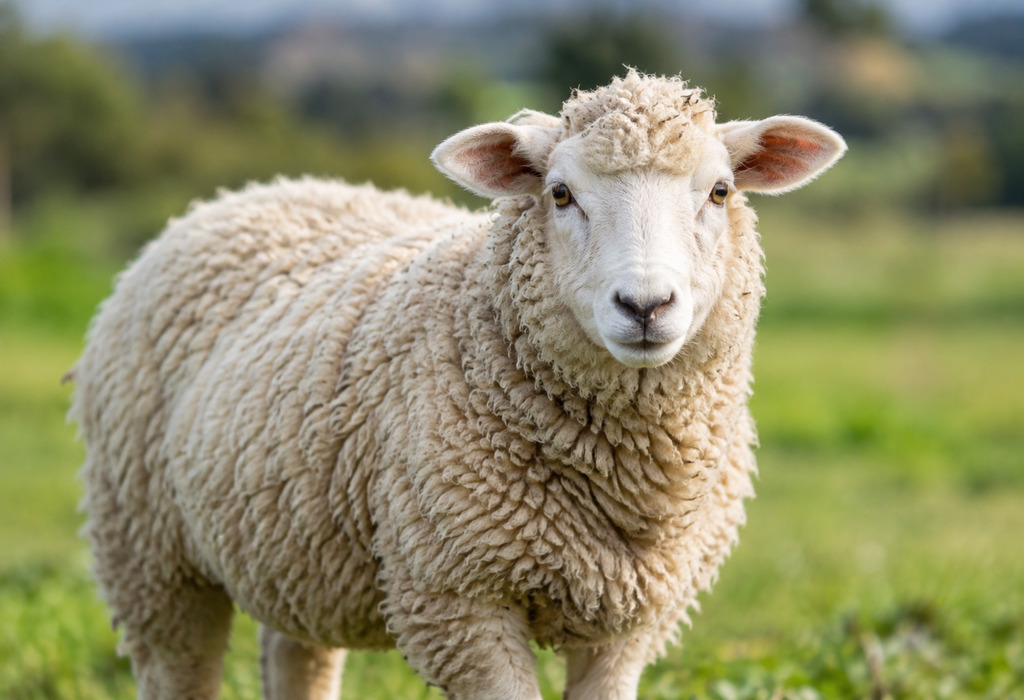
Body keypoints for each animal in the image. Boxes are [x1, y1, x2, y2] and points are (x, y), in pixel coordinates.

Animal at [71, 70, 845, 700]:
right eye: (560, 193)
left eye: (720, 191)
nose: (646, 306)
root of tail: (264, 189)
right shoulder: (459, 598)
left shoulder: (633, 621)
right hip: (148, 553)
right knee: (178, 665)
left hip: (292, 544)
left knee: (297, 658)